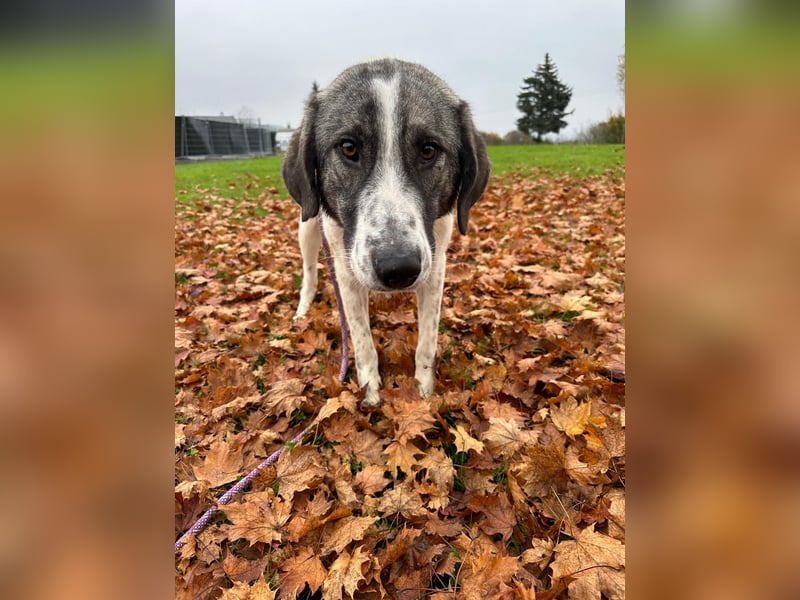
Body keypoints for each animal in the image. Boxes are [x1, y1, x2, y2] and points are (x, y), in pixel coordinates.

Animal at [284, 59, 490, 408]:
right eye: (348, 147)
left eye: (428, 150)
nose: (399, 269)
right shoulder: (347, 270)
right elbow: (362, 341)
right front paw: (370, 392)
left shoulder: (435, 266)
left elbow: (427, 342)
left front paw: (423, 392)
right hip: (307, 227)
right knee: (310, 272)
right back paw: (302, 310)